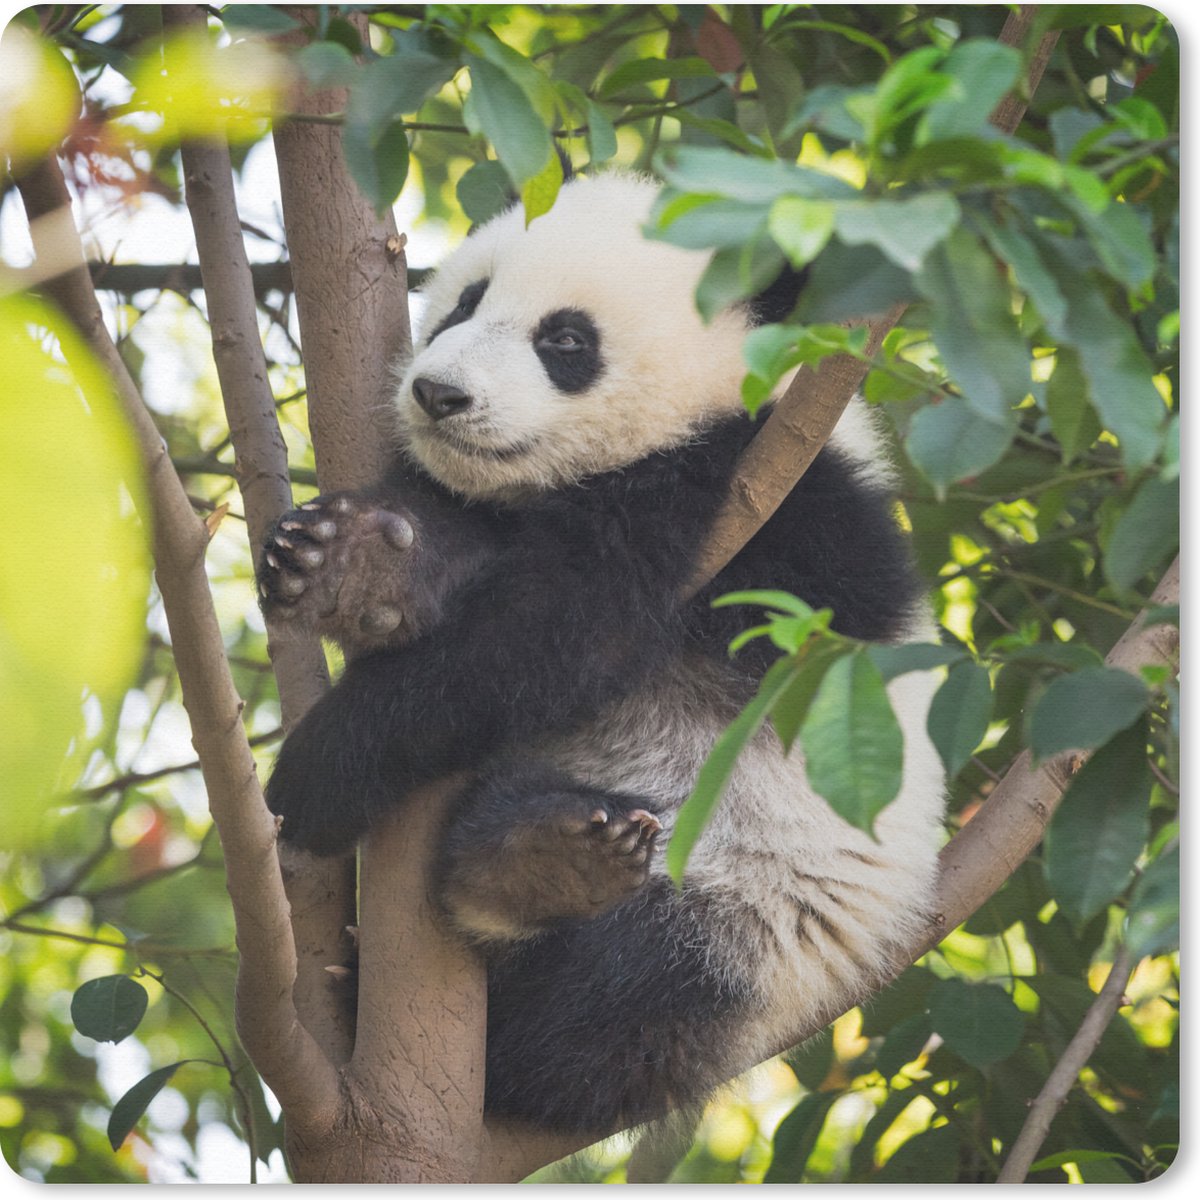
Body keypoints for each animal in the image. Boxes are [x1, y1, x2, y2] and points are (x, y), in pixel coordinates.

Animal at [258, 172, 945, 1135]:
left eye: (566, 341)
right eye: (465, 304)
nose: (437, 395)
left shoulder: (752, 495)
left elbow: (550, 636)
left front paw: (316, 775)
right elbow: (477, 552)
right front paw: (353, 563)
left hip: (756, 917)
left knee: (602, 1008)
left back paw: (534, 875)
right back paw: (538, 847)